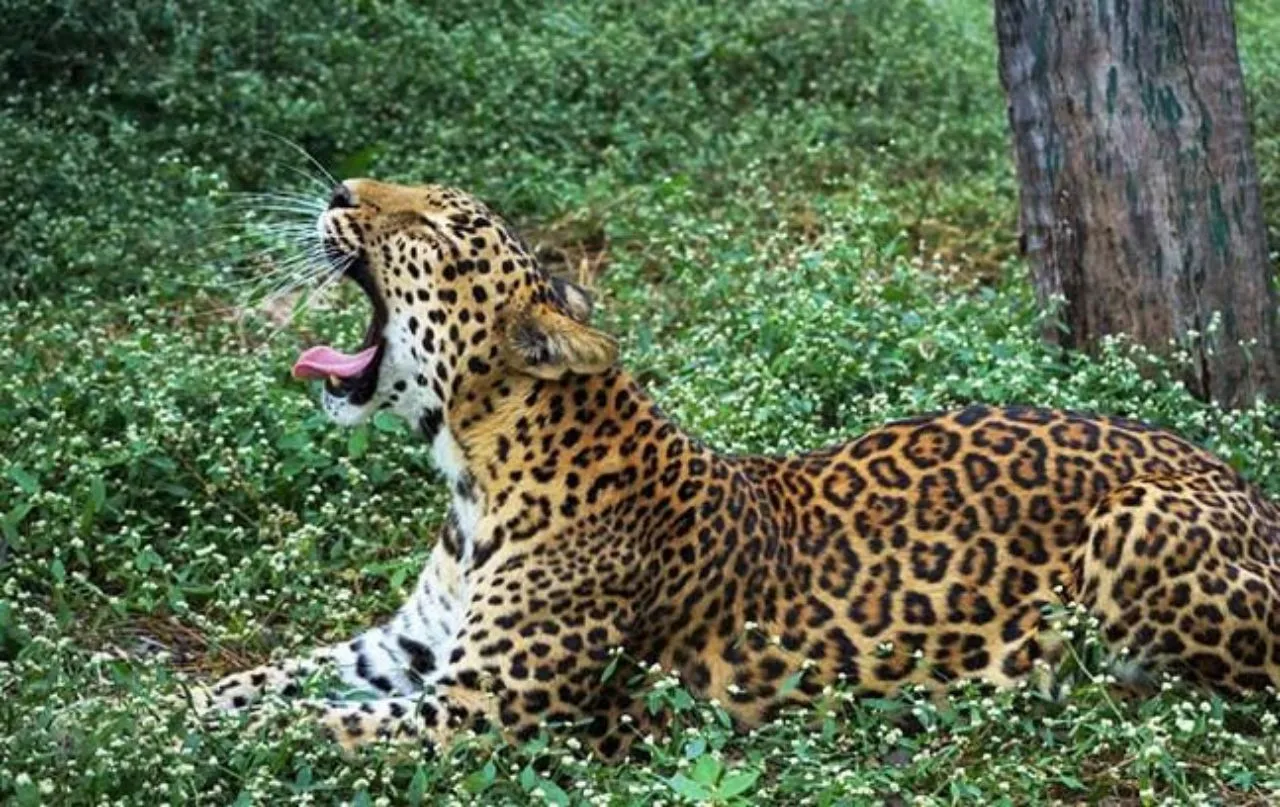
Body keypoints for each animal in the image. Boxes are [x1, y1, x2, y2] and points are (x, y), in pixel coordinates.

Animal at [200, 178, 1280, 757]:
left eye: (430, 230)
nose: (340, 191)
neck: (473, 473)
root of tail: (1251, 488)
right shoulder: (409, 648)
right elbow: (281, 678)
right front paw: (182, 705)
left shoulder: (477, 717)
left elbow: (311, 726)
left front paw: (181, 742)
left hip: (1136, 524)